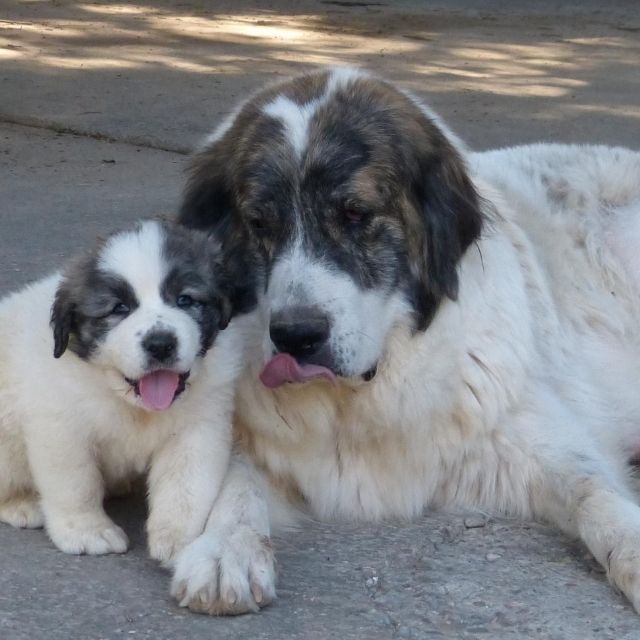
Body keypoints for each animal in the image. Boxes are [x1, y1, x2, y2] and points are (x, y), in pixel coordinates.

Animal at [0, 219, 244, 560]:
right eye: (119, 308)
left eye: (185, 300)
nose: (160, 344)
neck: (124, 398)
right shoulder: (60, 426)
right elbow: (75, 482)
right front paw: (87, 530)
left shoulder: (199, 424)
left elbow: (186, 483)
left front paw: (177, 537)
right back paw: (20, 504)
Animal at [171, 67, 640, 612]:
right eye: (260, 223)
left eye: (355, 214)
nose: (295, 336)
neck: (360, 403)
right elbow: (235, 481)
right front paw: (226, 549)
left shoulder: (536, 435)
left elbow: (595, 493)